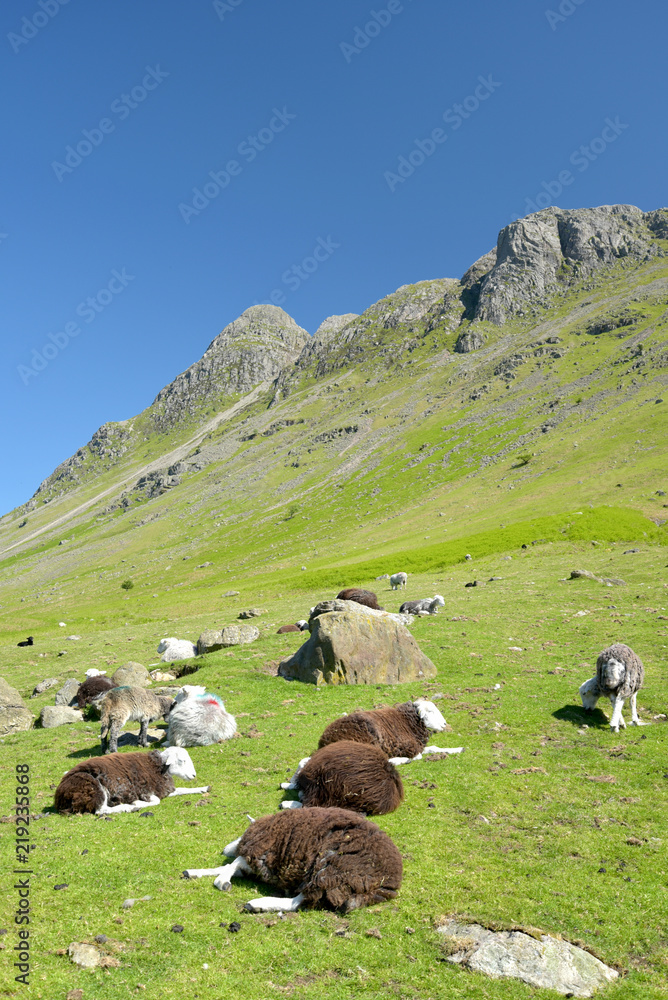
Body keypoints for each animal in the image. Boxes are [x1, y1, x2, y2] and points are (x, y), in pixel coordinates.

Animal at [53, 748, 207, 816]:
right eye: (181, 760)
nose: (194, 775)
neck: (157, 766)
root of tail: (59, 796)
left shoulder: (163, 790)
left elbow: (182, 790)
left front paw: (204, 788)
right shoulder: (144, 791)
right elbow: (156, 801)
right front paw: (137, 803)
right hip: (94, 787)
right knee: (101, 810)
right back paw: (128, 807)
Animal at [183, 804, 402, 916]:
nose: (224, 849)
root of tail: (386, 883)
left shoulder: (264, 855)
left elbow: (235, 862)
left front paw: (222, 881)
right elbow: (231, 864)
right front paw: (194, 872)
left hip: (331, 867)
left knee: (299, 902)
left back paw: (257, 904)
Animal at [316, 700, 462, 760]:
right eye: (430, 711)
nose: (445, 724)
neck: (406, 720)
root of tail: (324, 740)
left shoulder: (417, 745)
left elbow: (434, 748)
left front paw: (458, 749)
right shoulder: (408, 746)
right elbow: (418, 755)